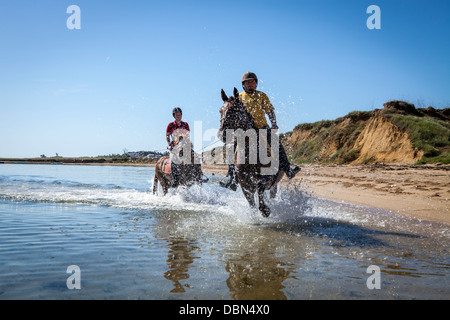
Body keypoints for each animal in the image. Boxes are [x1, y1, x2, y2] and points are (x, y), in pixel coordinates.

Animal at [216, 87, 284, 218]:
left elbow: (261, 193)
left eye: (234, 109)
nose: (222, 134)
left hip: (274, 185)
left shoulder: (265, 180)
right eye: (220, 110)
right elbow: (252, 205)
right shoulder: (244, 184)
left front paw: (265, 211)